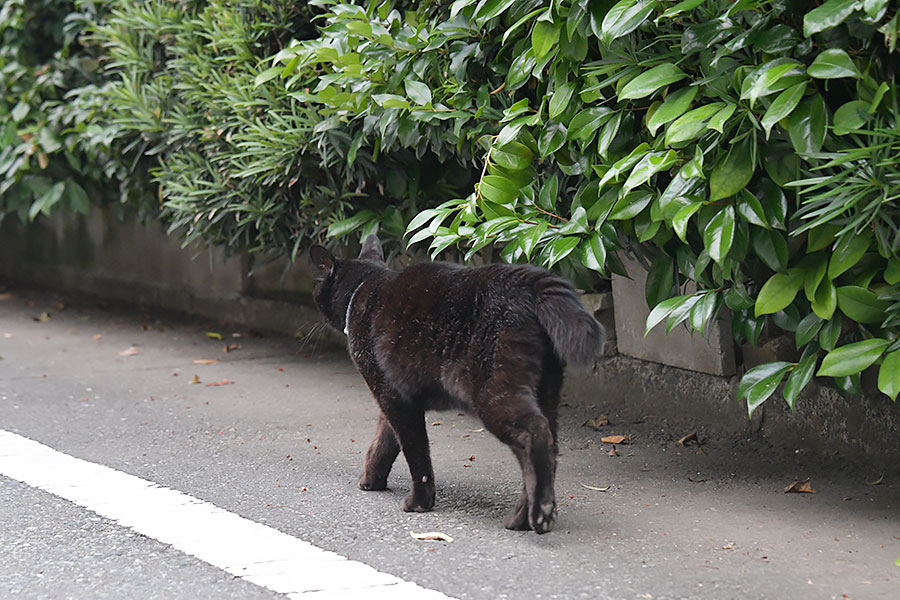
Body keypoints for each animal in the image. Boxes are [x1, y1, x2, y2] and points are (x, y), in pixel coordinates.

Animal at [310, 237, 604, 532]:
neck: (364, 287)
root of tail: (530, 281)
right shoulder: (396, 397)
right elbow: (384, 442)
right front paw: (372, 480)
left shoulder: (393, 397)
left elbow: (416, 454)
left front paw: (420, 502)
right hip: (546, 392)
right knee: (547, 449)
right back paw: (523, 517)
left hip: (493, 393)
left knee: (535, 433)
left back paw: (540, 514)